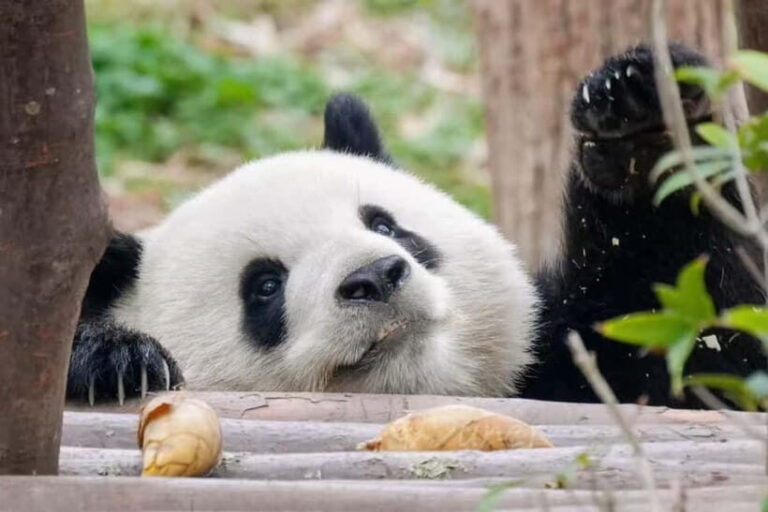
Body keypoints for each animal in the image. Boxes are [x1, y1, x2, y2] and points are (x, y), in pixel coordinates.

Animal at [67, 43, 766, 408]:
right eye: (264, 286)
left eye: (387, 226)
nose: (376, 277)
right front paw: (117, 359)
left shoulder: (569, 359)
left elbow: (690, 335)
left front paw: (637, 121)